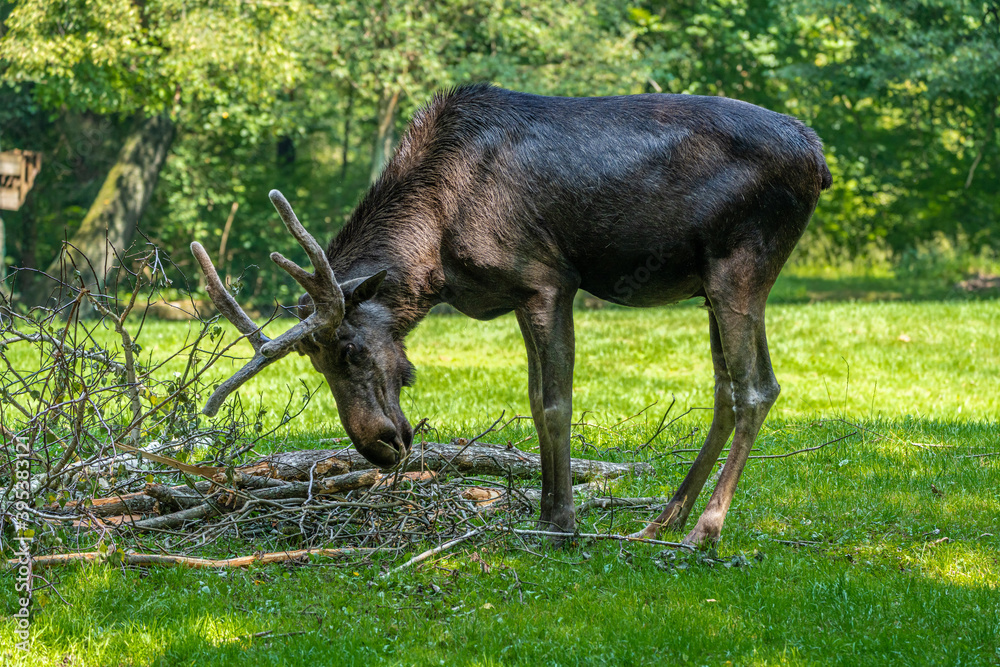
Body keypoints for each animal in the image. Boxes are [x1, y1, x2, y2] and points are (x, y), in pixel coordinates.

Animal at [190, 84, 831, 546]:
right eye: (317, 366)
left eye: (349, 350)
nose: (378, 446)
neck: (435, 256)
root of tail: (820, 160)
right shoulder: (520, 295)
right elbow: (532, 399)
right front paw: (545, 512)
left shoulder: (548, 280)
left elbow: (554, 403)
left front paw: (563, 522)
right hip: (707, 283)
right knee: (726, 389)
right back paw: (663, 520)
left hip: (740, 263)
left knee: (757, 387)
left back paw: (704, 529)